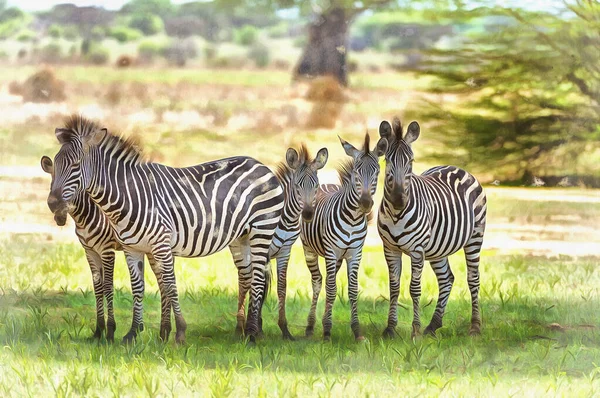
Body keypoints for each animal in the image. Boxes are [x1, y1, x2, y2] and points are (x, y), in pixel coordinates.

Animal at [40, 155, 146, 342]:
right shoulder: (90, 251)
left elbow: (108, 287)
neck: (84, 216)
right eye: (51, 183)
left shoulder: (107, 250)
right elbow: (97, 288)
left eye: (71, 186)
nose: (59, 218)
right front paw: (98, 331)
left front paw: (110, 332)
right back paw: (139, 327)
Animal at [300, 133, 390, 338]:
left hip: (339, 257)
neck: (352, 219)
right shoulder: (332, 252)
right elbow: (332, 288)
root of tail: (327, 184)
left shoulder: (355, 253)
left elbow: (352, 289)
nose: (365, 203)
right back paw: (310, 326)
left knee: (327, 282)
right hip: (310, 250)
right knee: (318, 282)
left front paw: (356, 330)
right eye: (356, 172)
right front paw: (327, 330)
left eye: (376, 172)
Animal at [378, 118, 490, 338]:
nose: (398, 199)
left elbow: (414, 288)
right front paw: (390, 328)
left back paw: (475, 327)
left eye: (411, 162)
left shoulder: (417, 250)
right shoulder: (390, 249)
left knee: (473, 279)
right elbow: (394, 287)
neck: (396, 215)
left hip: (475, 236)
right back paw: (433, 325)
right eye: (387, 160)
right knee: (447, 278)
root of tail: (456, 167)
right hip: (438, 248)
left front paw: (415, 331)